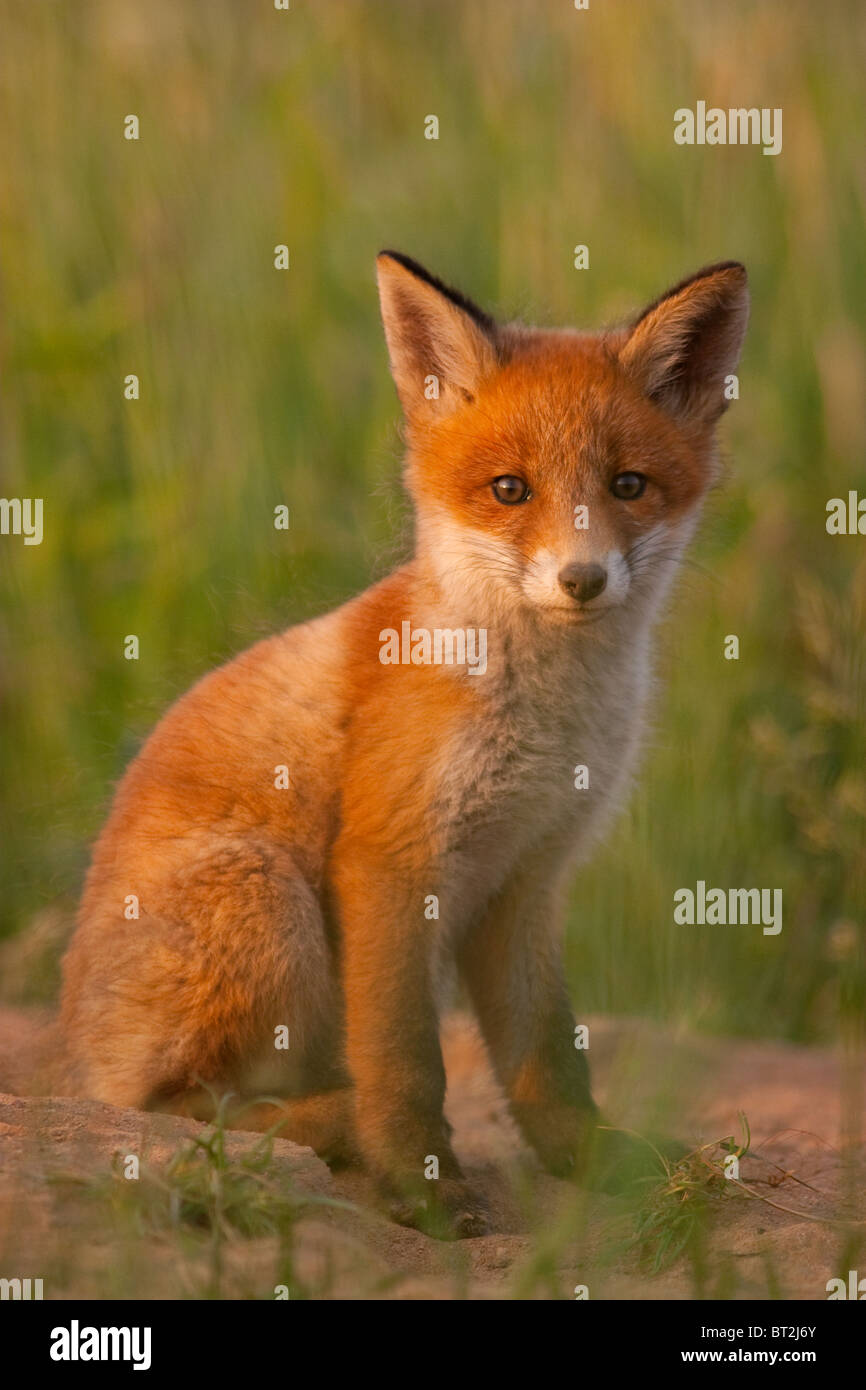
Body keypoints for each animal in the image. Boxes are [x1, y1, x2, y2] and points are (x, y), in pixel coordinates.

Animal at [56, 250, 749, 1237]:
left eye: (628, 485)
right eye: (510, 490)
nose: (582, 579)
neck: (546, 723)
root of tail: (71, 1052)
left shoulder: (527, 878)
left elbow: (548, 1059)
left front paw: (598, 1163)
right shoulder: (388, 863)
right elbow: (407, 1061)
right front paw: (424, 1187)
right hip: (268, 899)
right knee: (178, 1108)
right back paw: (336, 1125)